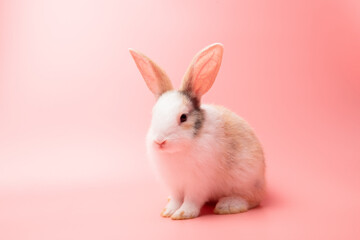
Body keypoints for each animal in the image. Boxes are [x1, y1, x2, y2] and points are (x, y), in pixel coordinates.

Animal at [129, 42, 264, 219]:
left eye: (183, 117)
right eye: (153, 114)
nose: (159, 141)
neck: (178, 150)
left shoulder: (198, 184)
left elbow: (191, 200)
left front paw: (182, 214)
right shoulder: (174, 184)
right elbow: (176, 198)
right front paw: (168, 211)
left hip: (245, 181)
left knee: (251, 199)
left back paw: (227, 206)